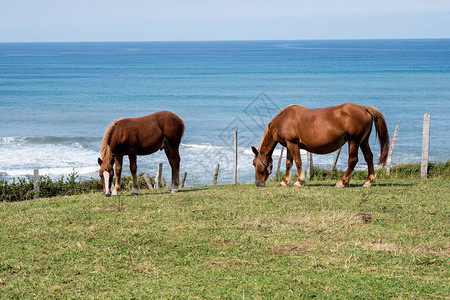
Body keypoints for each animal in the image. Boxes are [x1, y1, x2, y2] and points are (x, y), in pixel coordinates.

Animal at [251, 103, 388, 188]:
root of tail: (364, 108)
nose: (257, 183)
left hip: (354, 140)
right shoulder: (289, 144)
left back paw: (342, 182)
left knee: (353, 160)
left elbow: (298, 161)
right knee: (369, 157)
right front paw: (284, 182)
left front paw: (299, 181)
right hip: (363, 141)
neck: (282, 120)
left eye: (253, 163)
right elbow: (289, 163)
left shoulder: (293, 144)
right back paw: (368, 181)